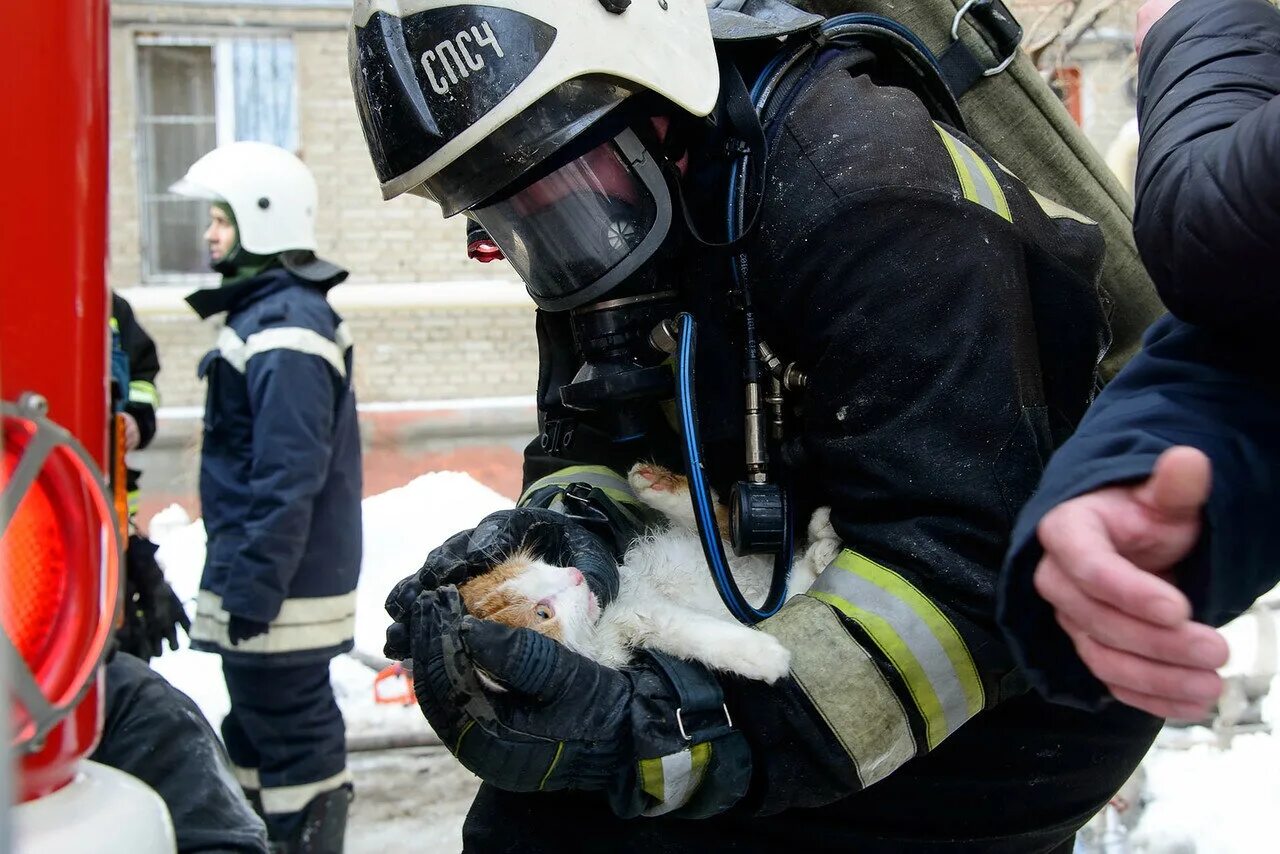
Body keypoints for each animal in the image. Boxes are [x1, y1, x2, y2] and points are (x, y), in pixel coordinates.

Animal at [458, 463, 839, 686]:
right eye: (542, 613)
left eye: (539, 566)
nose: (576, 575)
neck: (604, 619)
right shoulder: (643, 621)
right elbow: (693, 632)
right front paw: (762, 655)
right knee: (791, 587)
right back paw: (821, 549)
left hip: (720, 550)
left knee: (718, 522)